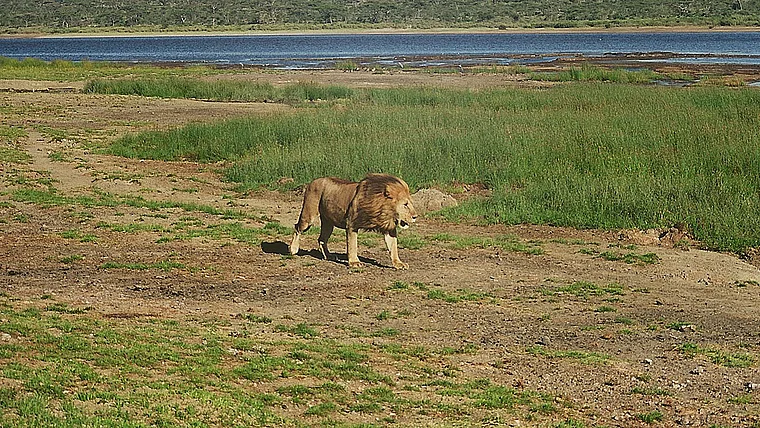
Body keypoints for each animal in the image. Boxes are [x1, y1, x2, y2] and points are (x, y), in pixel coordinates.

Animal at [289, 174, 417, 269]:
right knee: (297, 228)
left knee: (321, 239)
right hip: (308, 216)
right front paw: (354, 262)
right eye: (405, 204)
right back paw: (293, 249)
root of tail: (313, 181)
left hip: (328, 222)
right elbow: (352, 245)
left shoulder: (389, 229)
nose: (415, 216)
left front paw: (398, 263)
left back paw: (329, 256)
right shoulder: (351, 224)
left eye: (411, 203)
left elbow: (393, 247)